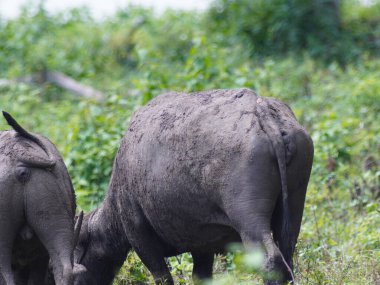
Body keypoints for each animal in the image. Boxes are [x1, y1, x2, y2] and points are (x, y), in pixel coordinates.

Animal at [72, 89, 314, 284]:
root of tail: (264, 112)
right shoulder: (202, 244)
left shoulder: (140, 236)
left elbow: (162, 277)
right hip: (294, 207)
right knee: (288, 256)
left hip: (249, 219)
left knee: (271, 260)